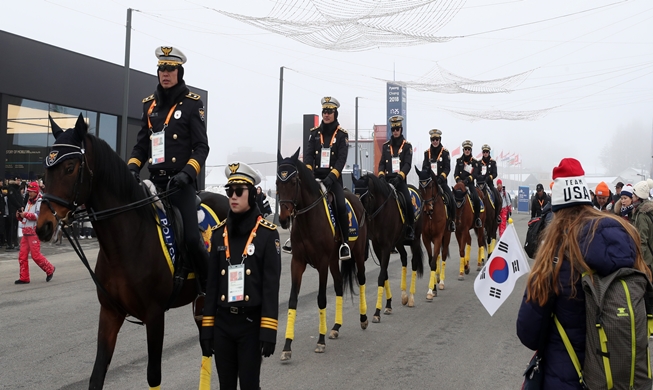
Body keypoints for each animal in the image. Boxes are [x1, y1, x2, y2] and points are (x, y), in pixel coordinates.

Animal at [36, 114, 229, 388]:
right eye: (46, 168)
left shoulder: (155, 316)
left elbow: (153, 375)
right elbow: (97, 374)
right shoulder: (110, 313)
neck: (127, 242)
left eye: (70, 167)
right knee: (206, 344)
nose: (43, 225)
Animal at [276, 149, 366, 362]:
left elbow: (321, 299)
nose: (283, 219)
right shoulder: (297, 262)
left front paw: (320, 341)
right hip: (334, 261)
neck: (309, 219)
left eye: (293, 181)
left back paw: (365, 318)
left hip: (357, 253)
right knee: (340, 285)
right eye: (277, 182)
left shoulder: (322, 263)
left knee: (361, 279)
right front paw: (287, 346)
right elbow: (293, 300)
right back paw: (336, 327)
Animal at [416, 166, 450, 298]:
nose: (427, 208)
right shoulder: (426, 238)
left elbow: (433, 262)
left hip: (446, 236)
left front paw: (431, 290)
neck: (431, 215)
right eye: (420, 187)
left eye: (430, 186)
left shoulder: (438, 237)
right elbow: (431, 260)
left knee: (443, 255)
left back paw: (442, 282)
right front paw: (433, 288)